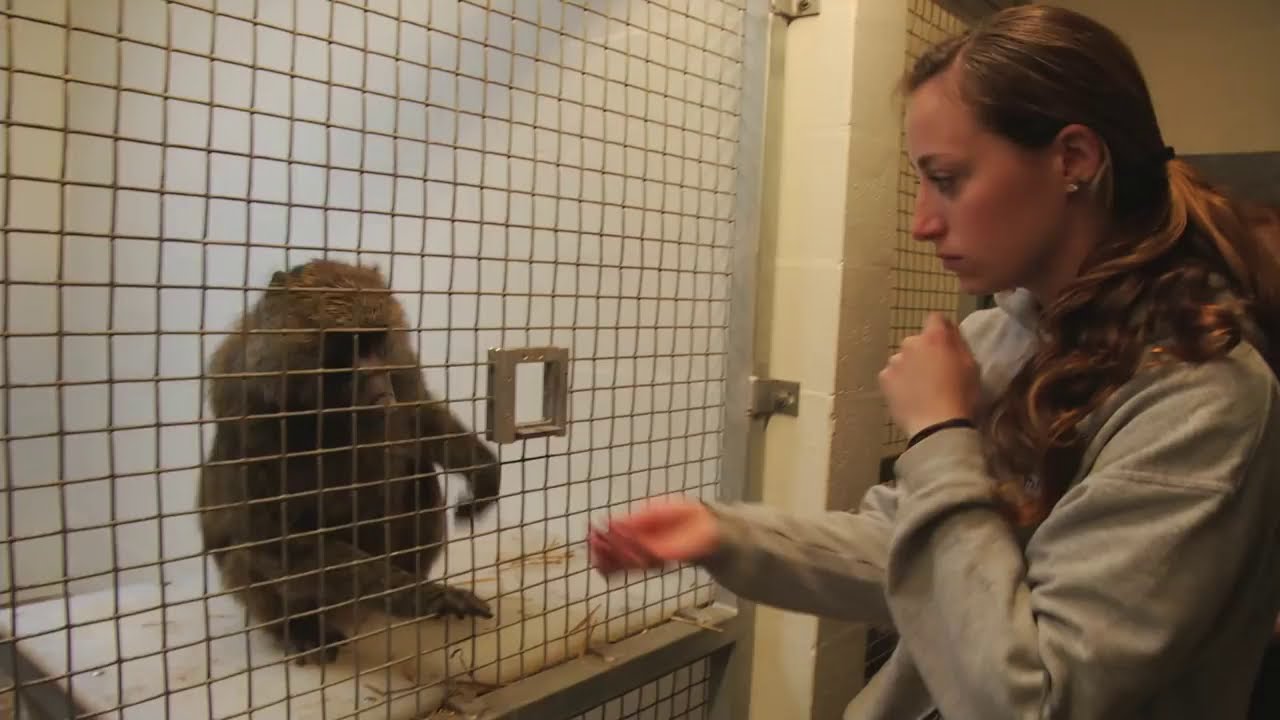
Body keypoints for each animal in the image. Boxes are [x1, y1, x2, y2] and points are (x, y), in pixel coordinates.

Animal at [197, 259, 501, 665]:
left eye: (374, 341)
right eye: (348, 344)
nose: (378, 384)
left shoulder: (401, 364)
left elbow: (418, 417)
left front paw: (483, 471)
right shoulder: (247, 408)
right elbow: (268, 534)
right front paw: (421, 596)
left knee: (418, 472)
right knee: (246, 553)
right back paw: (300, 627)